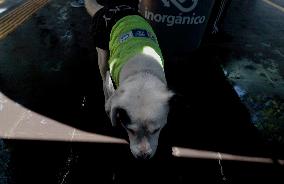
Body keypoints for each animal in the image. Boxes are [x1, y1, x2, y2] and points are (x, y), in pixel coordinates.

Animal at [84, 0, 173, 159]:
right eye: (130, 130)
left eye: (157, 130)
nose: (143, 156)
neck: (142, 72)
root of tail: (104, 8)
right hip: (102, 49)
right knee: (104, 75)